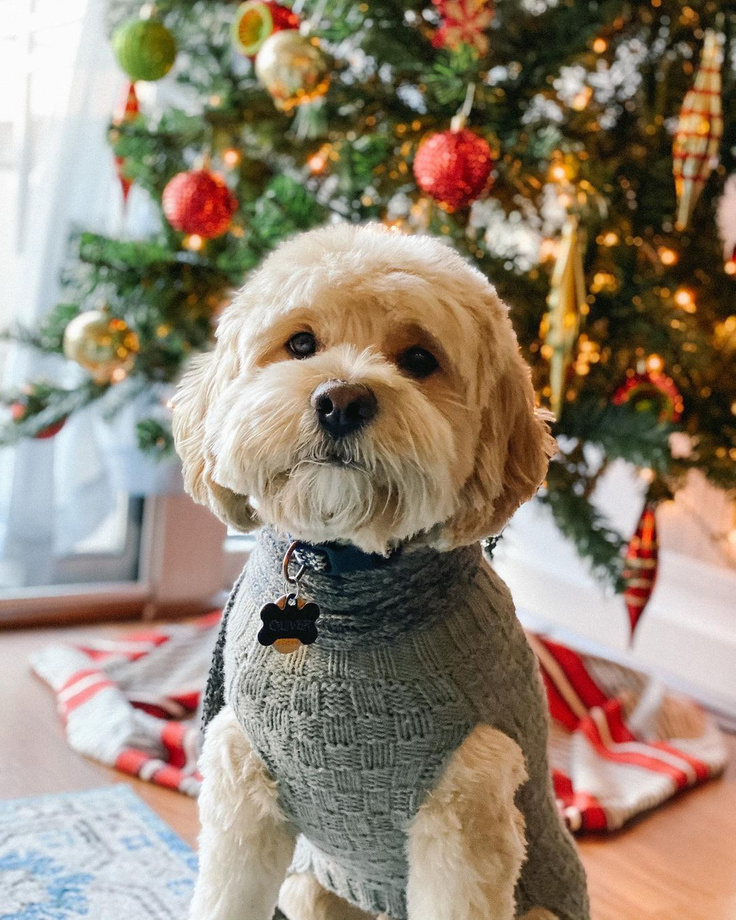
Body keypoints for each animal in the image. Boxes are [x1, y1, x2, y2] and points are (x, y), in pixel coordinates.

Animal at [172, 225, 588, 920]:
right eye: (301, 343)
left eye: (419, 359)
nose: (341, 400)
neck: (343, 582)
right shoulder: (241, 782)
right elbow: (227, 895)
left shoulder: (466, 814)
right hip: (310, 885)